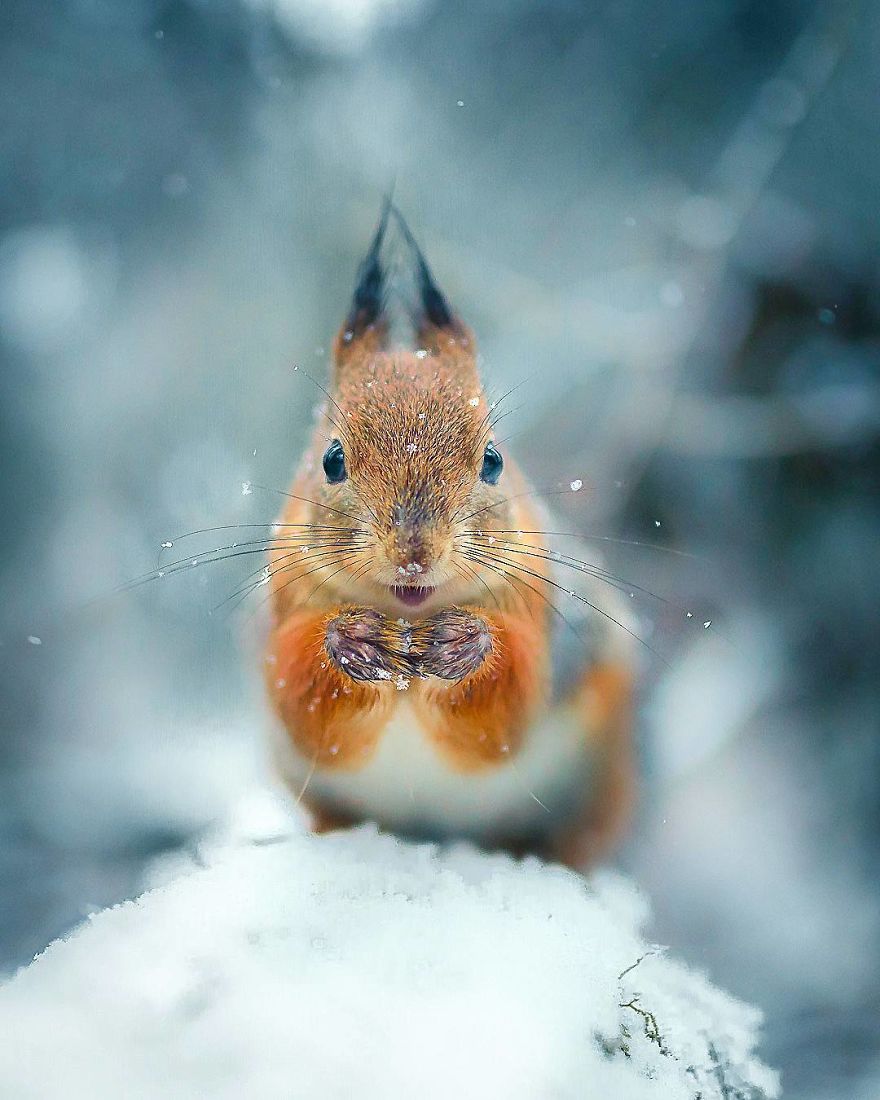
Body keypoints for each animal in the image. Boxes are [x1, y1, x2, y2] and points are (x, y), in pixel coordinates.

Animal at [265, 202, 638, 862]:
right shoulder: (282, 603)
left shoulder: (542, 603)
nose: (414, 552)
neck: (410, 616)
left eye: (493, 459)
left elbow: (511, 706)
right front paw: (351, 640)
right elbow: (302, 701)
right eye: (331, 459)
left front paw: (465, 644)